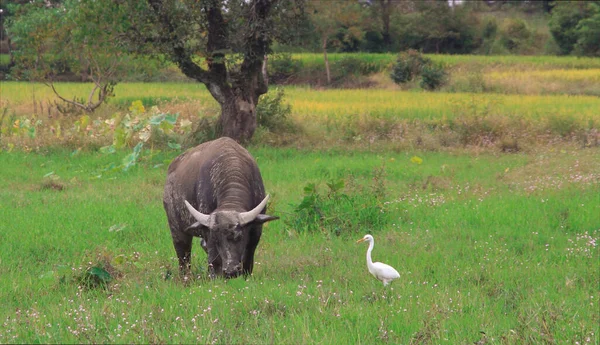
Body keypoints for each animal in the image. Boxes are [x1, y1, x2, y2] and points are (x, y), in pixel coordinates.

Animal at [162, 136, 278, 278]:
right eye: (216, 240)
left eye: (239, 237)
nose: (230, 271)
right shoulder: (208, 234)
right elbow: (214, 260)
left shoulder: (256, 230)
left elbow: (248, 259)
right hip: (177, 230)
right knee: (184, 257)